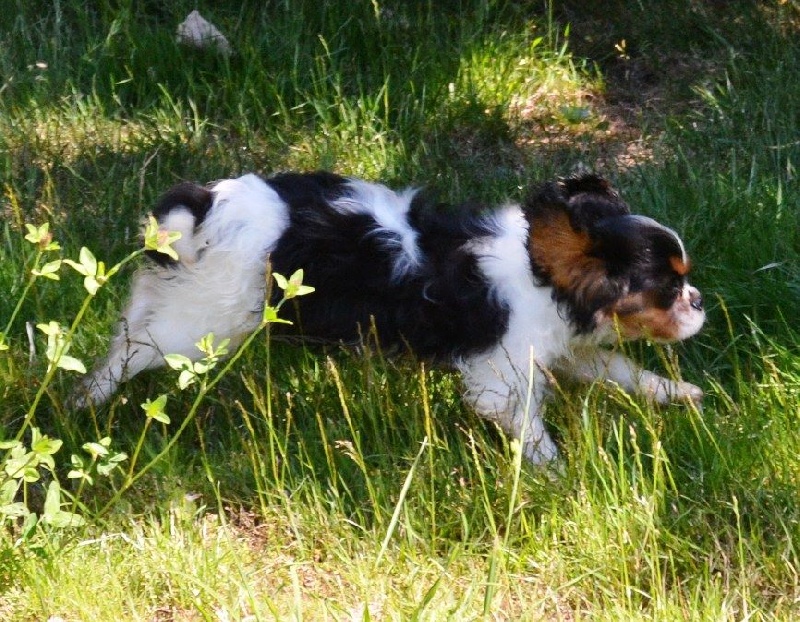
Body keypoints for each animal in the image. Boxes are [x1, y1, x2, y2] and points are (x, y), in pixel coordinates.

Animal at [77, 171, 705, 464]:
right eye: (668, 289)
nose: (698, 301)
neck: (543, 275)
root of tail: (207, 204)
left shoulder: (569, 349)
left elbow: (619, 369)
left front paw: (676, 392)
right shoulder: (501, 376)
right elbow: (531, 428)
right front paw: (555, 474)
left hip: (189, 298)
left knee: (132, 324)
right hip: (203, 324)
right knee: (131, 350)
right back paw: (86, 401)